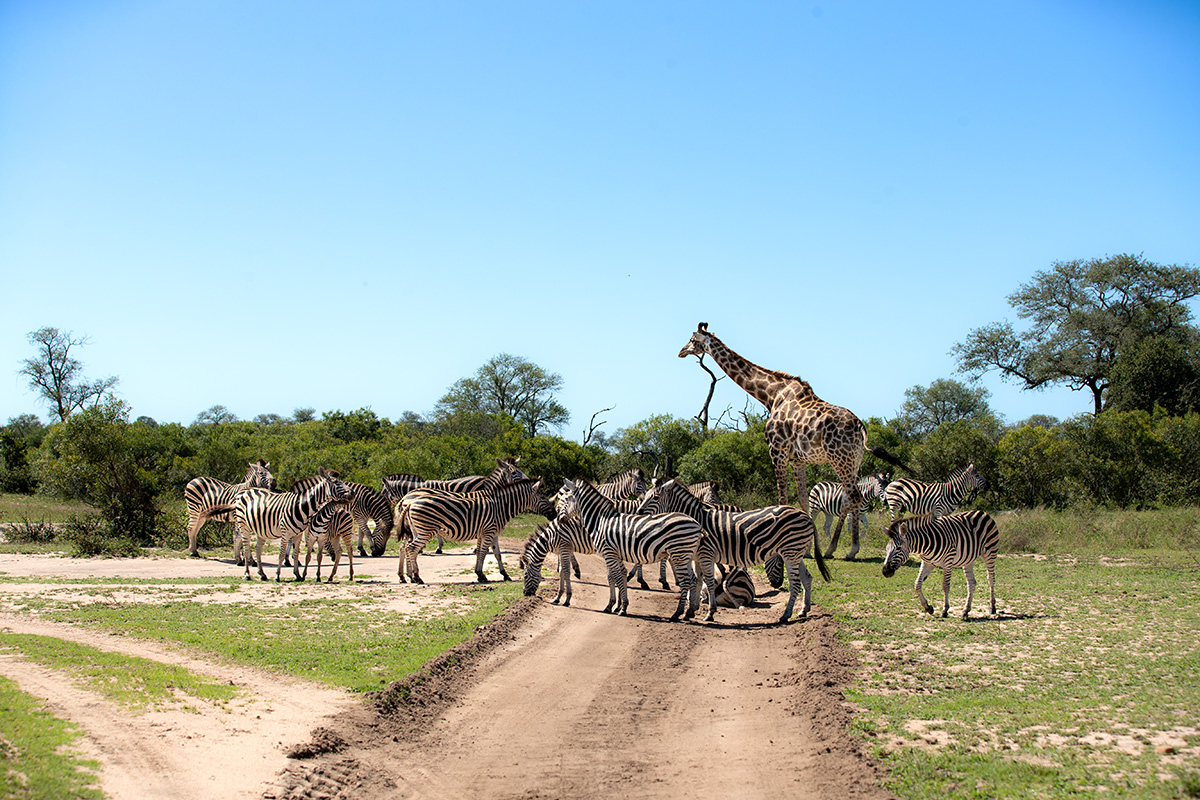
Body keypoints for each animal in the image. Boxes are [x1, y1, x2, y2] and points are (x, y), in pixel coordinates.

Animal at [397, 478, 557, 584]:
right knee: (411, 549)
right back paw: (417, 577)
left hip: (415, 531)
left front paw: (504, 575)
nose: (555, 515)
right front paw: (482, 575)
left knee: (405, 548)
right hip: (425, 530)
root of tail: (409, 502)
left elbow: (495, 554)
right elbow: (483, 553)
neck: (501, 506)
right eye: (543, 497)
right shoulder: (489, 532)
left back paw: (407, 576)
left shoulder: (489, 533)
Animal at [559, 478, 713, 622]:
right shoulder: (616, 555)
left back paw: (677, 614)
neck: (600, 521)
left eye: (566, 500)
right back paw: (689, 612)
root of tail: (696, 523)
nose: (560, 519)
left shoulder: (609, 553)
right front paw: (616, 606)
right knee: (693, 580)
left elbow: (615, 578)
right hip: (687, 555)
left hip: (679, 554)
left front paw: (620, 607)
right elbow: (617, 577)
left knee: (686, 581)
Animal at [636, 478, 829, 623]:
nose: (638, 512)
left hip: (790, 552)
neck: (697, 519)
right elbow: (696, 581)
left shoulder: (706, 555)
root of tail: (806, 516)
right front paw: (691, 610)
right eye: (645, 496)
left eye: (654, 497)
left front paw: (709, 613)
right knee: (807, 578)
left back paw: (786, 615)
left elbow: (709, 582)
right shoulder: (697, 556)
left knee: (795, 583)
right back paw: (803, 611)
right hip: (797, 553)